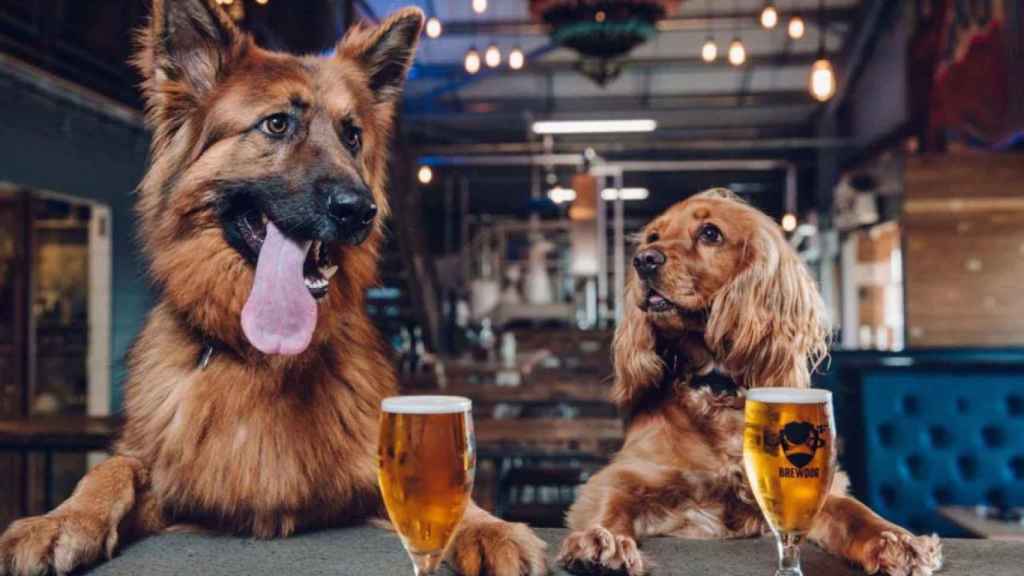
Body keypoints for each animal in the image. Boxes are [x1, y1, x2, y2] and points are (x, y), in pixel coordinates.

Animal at [0, 2, 544, 569]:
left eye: (353, 136)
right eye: (277, 124)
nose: (360, 211)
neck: (263, 361)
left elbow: (447, 493)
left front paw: (489, 528)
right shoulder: (171, 484)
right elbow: (113, 467)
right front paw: (62, 519)